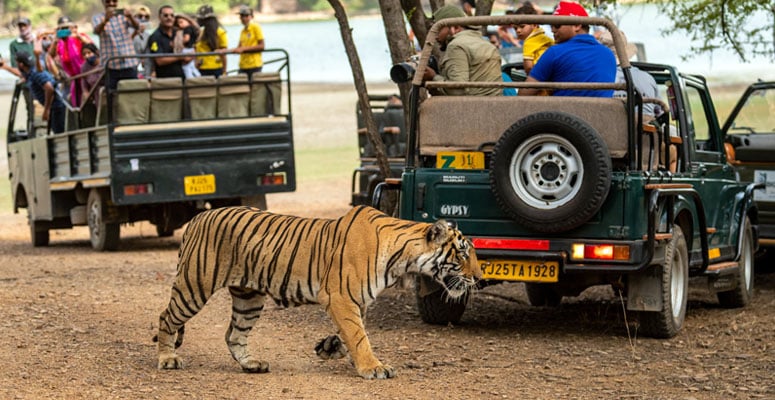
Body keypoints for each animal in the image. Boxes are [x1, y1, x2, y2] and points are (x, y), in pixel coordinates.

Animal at [155, 205, 481, 379]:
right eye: (463, 253)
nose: (478, 277)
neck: (402, 258)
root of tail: (198, 218)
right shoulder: (341, 297)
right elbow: (359, 335)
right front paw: (373, 367)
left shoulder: (357, 301)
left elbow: (353, 332)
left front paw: (330, 348)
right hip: (194, 285)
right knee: (166, 318)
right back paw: (167, 359)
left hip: (249, 298)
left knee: (233, 334)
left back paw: (251, 364)